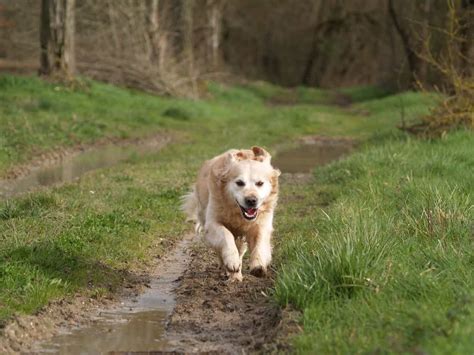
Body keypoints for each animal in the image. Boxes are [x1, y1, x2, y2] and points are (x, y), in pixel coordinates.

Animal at [181, 146, 278, 282]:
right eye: (240, 182)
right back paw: (229, 270)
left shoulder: (261, 224)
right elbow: (226, 235)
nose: (251, 200)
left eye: (260, 183)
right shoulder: (212, 223)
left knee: (240, 250)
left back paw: (237, 275)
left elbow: (260, 242)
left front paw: (258, 266)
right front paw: (232, 262)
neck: (237, 213)